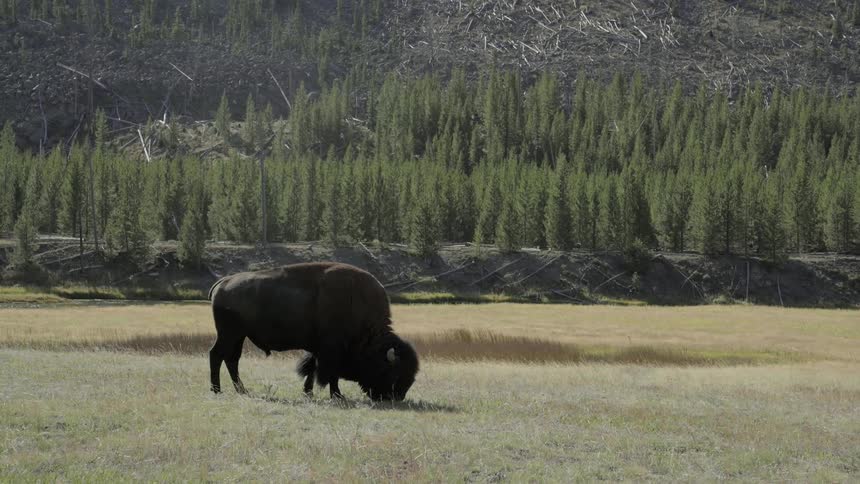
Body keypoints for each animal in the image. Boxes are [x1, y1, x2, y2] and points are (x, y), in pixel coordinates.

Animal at [207, 262, 419, 401]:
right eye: (394, 373)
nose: (397, 397)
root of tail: (224, 281)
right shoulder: (331, 350)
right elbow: (329, 373)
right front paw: (337, 395)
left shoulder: (318, 349)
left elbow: (312, 369)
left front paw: (308, 392)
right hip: (229, 334)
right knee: (217, 355)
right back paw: (217, 390)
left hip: (238, 336)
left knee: (232, 359)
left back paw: (241, 390)